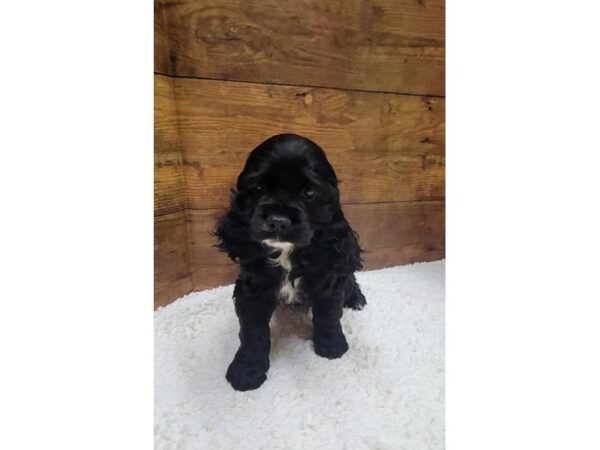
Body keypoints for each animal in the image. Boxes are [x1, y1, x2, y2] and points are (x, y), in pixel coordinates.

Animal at [216, 134, 366, 390]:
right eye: (259, 187)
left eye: (309, 192)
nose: (278, 221)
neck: (287, 253)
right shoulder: (251, 289)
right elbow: (252, 332)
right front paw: (247, 371)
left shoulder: (328, 280)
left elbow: (328, 315)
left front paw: (332, 346)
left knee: (349, 279)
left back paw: (356, 299)